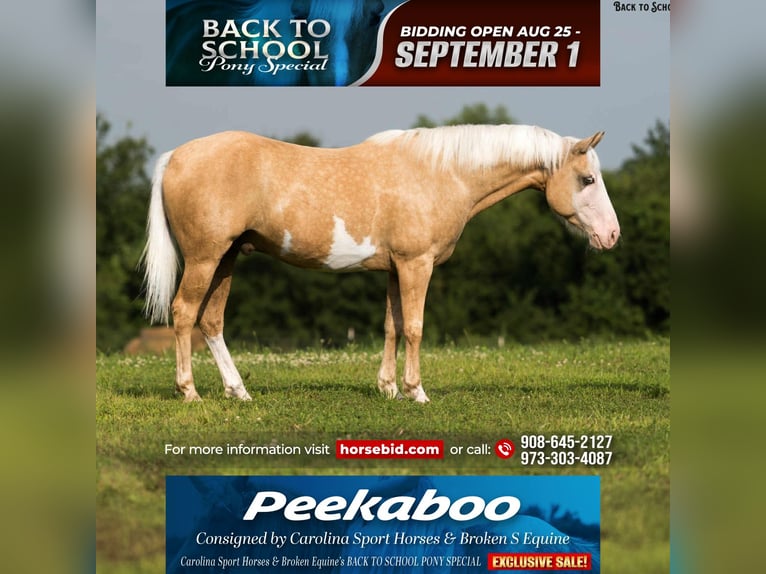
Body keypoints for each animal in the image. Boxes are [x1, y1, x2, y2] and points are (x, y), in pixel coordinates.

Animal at [141, 123, 620, 403]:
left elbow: (392, 325)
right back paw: (190, 392)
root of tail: (175, 156)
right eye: (587, 179)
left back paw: (238, 392)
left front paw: (388, 389)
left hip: (226, 259)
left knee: (211, 322)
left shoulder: (395, 268)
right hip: (205, 258)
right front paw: (416, 392)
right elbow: (415, 327)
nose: (612, 235)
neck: (442, 173)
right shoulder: (416, 264)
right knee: (184, 313)